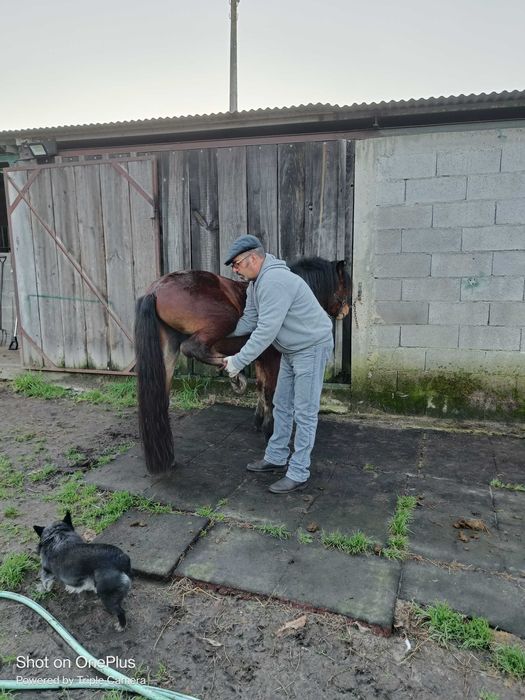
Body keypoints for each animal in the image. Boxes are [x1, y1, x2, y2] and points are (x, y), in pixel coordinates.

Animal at [134, 257, 351, 474]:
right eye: (344, 286)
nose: (346, 311)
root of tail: (156, 289)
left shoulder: (261, 359)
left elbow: (261, 389)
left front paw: (259, 421)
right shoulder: (273, 359)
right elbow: (270, 393)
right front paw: (269, 431)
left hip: (168, 352)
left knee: (161, 399)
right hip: (224, 319)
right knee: (192, 347)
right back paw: (232, 370)